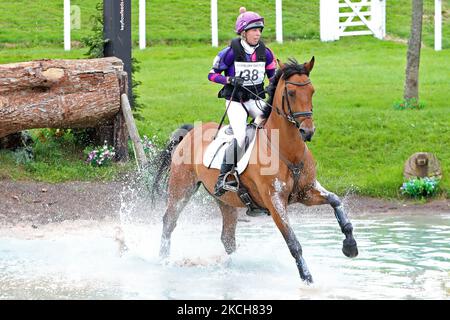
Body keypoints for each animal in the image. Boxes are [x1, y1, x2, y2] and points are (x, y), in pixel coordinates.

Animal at [151, 57, 358, 282]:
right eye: (291, 93)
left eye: (312, 91)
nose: (307, 131)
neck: (286, 150)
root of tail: (190, 132)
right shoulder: (275, 202)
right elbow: (293, 243)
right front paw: (308, 280)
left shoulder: (306, 191)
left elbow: (335, 201)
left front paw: (350, 246)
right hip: (182, 188)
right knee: (169, 222)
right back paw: (163, 261)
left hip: (225, 199)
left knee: (227, 237)